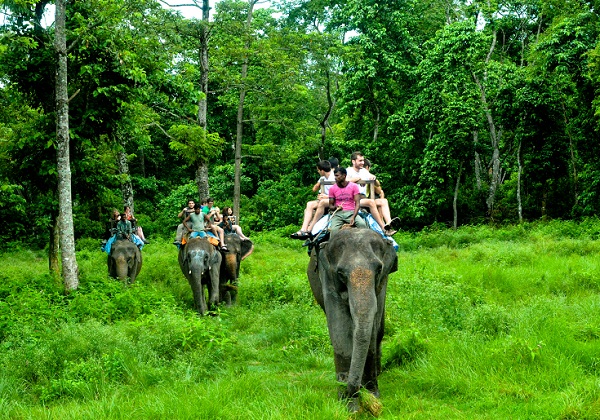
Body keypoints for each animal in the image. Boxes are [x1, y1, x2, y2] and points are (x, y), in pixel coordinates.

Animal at [304, 226, 398, 410]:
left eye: (378, 269)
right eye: (341, 273)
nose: (355, 391)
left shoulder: (382, 281)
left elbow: (372, 325)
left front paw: (371, 395)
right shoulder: (327, 277)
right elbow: (339, 326)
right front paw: (349, 404)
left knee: (379, 331)